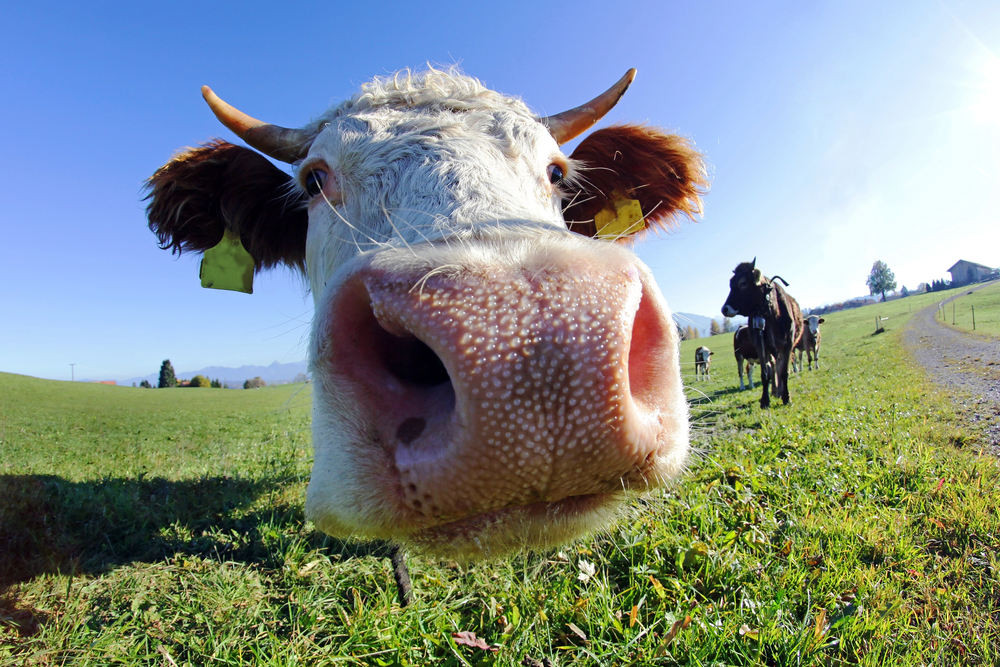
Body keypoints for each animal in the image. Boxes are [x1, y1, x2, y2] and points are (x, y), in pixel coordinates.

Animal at [720, 260, 804, 408]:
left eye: (743, 283)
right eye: (730, 283)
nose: (724, 309)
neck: (771, 315)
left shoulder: (787, 344)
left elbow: (783, 372)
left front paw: (786, 397)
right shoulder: (761, 346)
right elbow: (766, 374)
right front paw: (765, 400)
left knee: (776, 368)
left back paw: (778, 391)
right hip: (739, 355)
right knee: (743, 372)